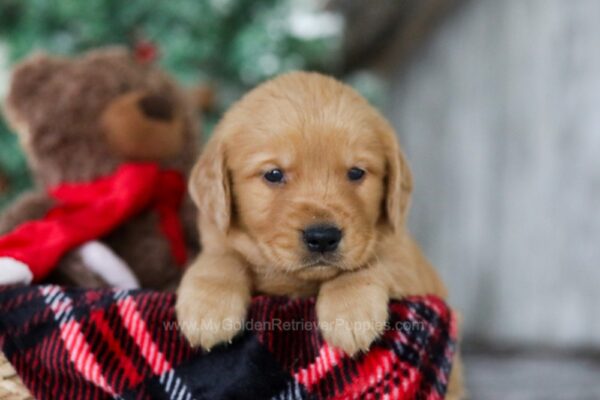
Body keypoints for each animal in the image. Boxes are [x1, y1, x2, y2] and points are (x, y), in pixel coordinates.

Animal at [177, 71, 464, 396]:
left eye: (356, 172)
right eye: (273, 174)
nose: (323, 237)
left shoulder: (410, 263)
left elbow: (372, 263)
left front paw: (350, 311)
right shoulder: (217, 238)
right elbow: (220, 257)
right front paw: (208, 308)